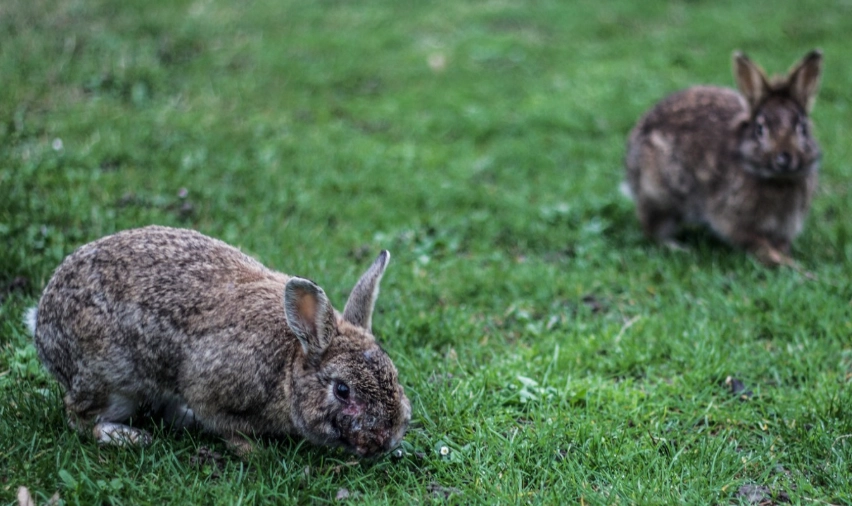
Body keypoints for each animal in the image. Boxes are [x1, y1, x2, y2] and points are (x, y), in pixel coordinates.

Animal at [26, 225, 411, 457]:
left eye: (394, 377)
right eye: (342, 391)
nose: (389, 437)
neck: (288, 365)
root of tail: (41, 324)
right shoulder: (207, 386)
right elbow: (225, 425)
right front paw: (253, 452)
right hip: (111, 380)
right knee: (77, 416)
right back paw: (127, 437)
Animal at [624, 50, 823, 266]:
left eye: (802, 128)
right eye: (760, 129)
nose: (784, 159)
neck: (776, 180)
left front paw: (784, 257)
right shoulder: (732, 220)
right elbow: (754, 242)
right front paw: (779, 260)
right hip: (658, 195)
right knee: (653, 229)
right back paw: (679, 248)